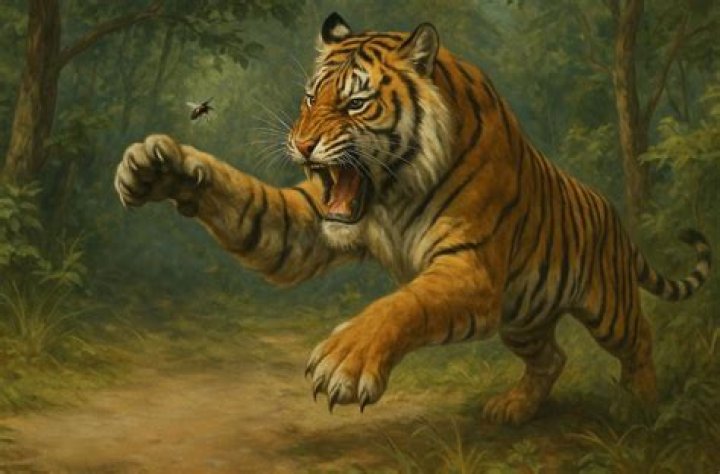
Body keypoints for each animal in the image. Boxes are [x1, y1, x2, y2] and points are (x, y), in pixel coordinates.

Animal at [114, 13, 712, 423]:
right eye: (309, 98)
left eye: (355, 104)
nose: (302, 144)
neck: (390, 193)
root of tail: (615, 217)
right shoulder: (307, 222)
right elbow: (242, 200)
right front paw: (158, 167)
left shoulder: (469, 268)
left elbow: (404, 304)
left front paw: (345, 361)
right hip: (523, 318)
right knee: (553, 357)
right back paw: (514, 409)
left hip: (607, 305)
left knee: (640, 340)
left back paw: (642, 407)